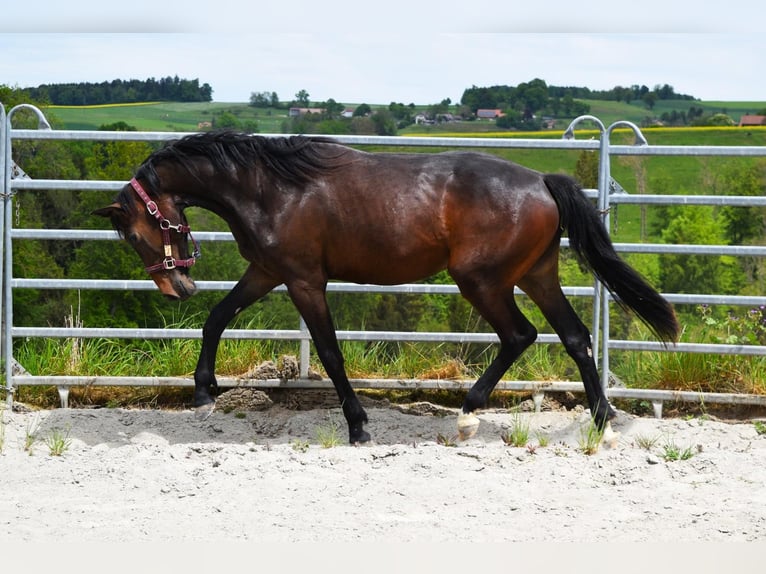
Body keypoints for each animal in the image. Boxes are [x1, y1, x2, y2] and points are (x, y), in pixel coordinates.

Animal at [94, 129, 679, 444]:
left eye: (135, 233)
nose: (176, 288)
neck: (271, 188)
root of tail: (541, 181)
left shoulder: (304, 280)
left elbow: (330, 352)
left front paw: (358, 426)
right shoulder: (267, 271)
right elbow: (218, 317)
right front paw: (202, 391)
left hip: (482, 280)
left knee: (521, 336)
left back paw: (468, 415)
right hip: (536, 275)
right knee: (575, 337)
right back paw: (602, 420)